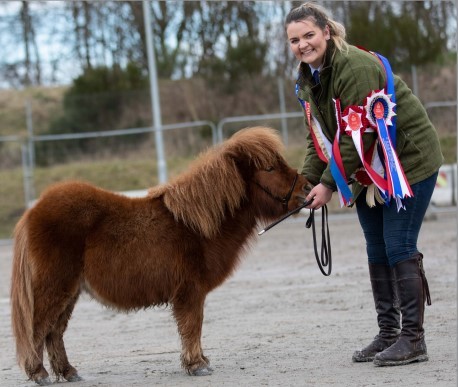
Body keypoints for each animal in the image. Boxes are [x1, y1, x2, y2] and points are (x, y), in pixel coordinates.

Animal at [11, 126, 312, 384]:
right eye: (269, 168)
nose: (308, 189)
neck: (196, 225)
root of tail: (32, 212)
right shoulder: (190, 292)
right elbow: (192, 326)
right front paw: (197, 365)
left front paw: (200, 361)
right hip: (55, 288)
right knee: (37, 329)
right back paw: (38, 373)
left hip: (70, 292)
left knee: (54, 332)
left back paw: (68, 372)